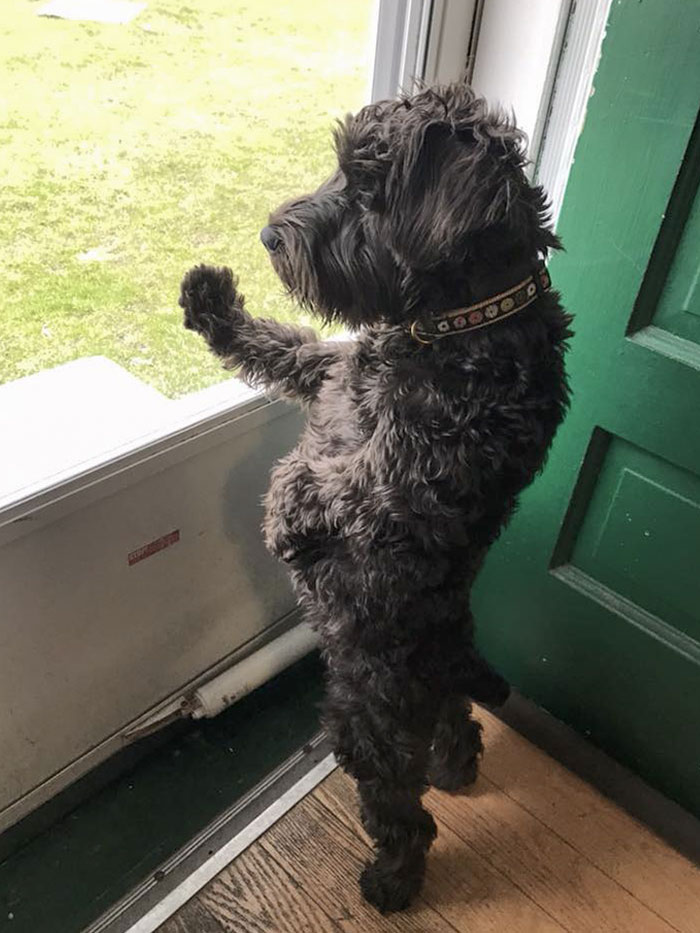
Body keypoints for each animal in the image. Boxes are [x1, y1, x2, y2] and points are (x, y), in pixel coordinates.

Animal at [178, 83, 572, 912]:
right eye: (340, 168)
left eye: (366, 190)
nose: (269, 234)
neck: (454, 327)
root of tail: (456, 646)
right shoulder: (324, 371)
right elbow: (276, 344)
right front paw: (210, 300)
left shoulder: (430, 470)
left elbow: (343, 479)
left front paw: (286, 506)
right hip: (431, 691)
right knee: (460, 721)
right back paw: (456, 766)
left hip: (369, 720)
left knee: (405, 812)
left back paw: (392, 880)